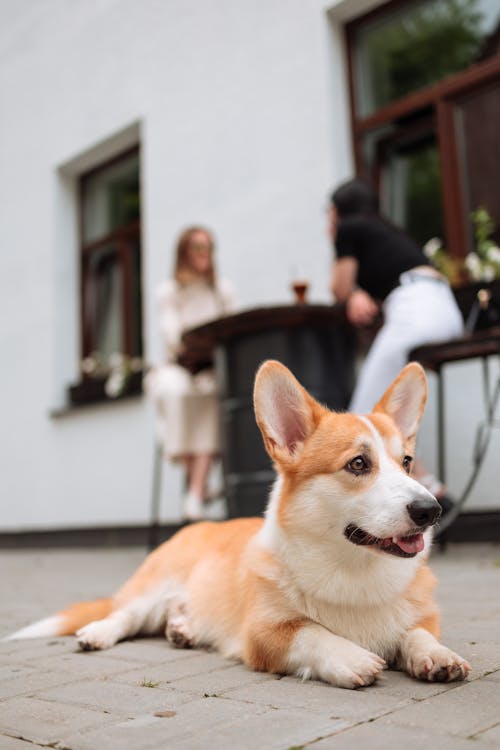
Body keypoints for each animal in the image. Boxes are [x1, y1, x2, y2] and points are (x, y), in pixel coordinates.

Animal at [5, 362, 470, 692]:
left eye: (406, 463)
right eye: (358, 464)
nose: (430, 510)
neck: (354, 573)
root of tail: (195, 527)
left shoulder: (421, 617)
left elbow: (416, 634)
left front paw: (437, 656)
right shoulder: (264, 633)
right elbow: (311, 632)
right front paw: (351, 657)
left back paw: (183, 630)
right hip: (156, 585)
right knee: (124, 614)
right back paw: (99, 633)